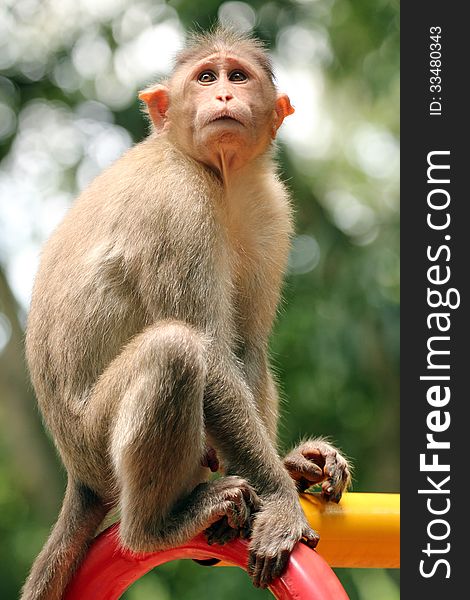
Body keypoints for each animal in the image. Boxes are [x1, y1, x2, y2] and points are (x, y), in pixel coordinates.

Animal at [22, 25, 350, 596]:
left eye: (236, 75)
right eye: (205, 77)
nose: (222, 96)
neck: (217, 174)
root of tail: (79, 475)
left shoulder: (271, 207)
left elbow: (245, 346)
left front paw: (285, 471)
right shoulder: (178, 204)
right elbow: (212, 350)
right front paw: (281, 501)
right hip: (96, 443)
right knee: (174, 350)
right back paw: (155, 526)